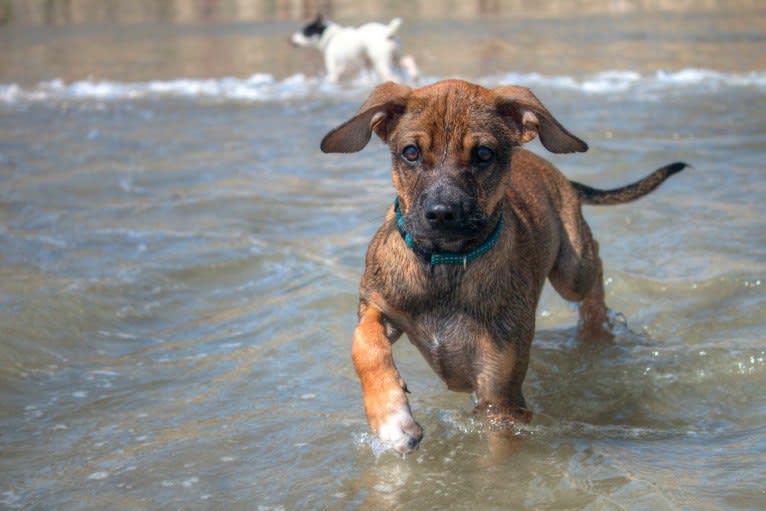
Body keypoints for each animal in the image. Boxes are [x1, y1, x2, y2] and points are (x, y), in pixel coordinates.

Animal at [290, 14, 420, 84]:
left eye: (305, 31)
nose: (290, 40)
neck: (332, 37)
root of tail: (387, 33)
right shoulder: (365, 66)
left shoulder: (333, 70)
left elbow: (331, 78)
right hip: (395, 58)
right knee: (409, 60)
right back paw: (414, 75)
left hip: (382, 63)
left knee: (393, 77)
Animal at [320, 79, 688, 452]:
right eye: (410, 152)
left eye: (484, 154)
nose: (441, 213)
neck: (446, 264)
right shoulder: (376, 304)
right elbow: (364, 343)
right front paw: (392, 418)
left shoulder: (501, 397)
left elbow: (499, 459)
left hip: (572, 269)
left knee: (593, 269)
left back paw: (595, 329)